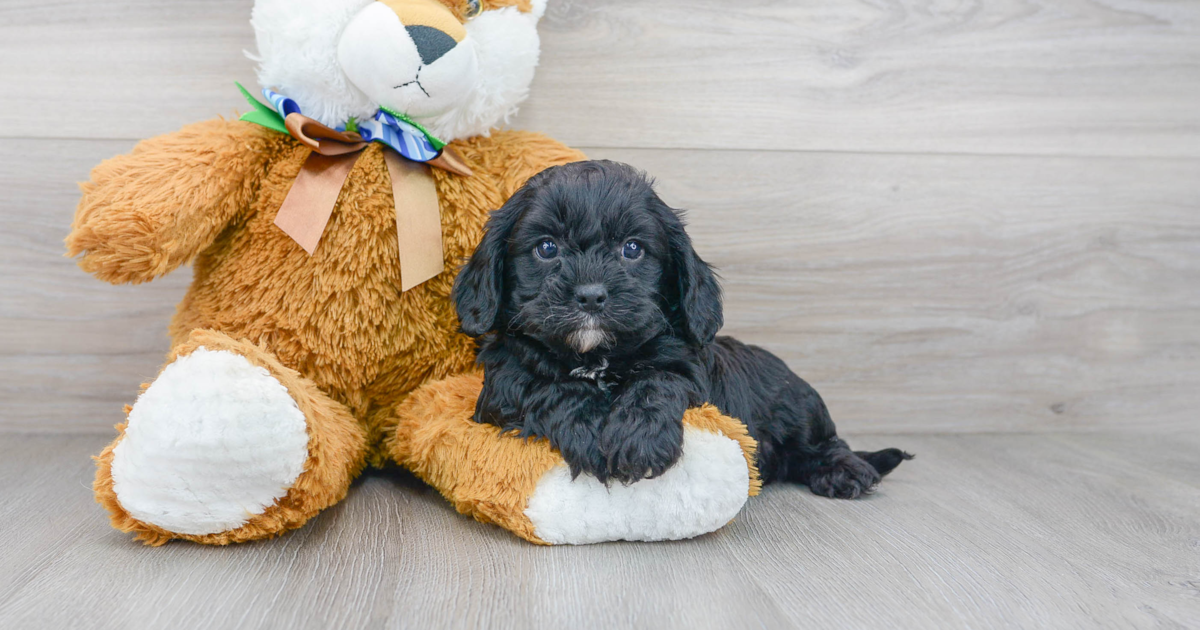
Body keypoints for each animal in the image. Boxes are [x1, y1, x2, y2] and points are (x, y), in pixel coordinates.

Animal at [451, 160, 907, 496]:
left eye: (632, 249)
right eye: (547, 248)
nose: (591, 296)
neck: (596, 355)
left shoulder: (689, 369)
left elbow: (658, 380)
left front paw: (638, 440)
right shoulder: (504, 377)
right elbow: (546, 386)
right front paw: (589, 430)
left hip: (799, 408)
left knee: (827, 443)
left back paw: (845, 471)